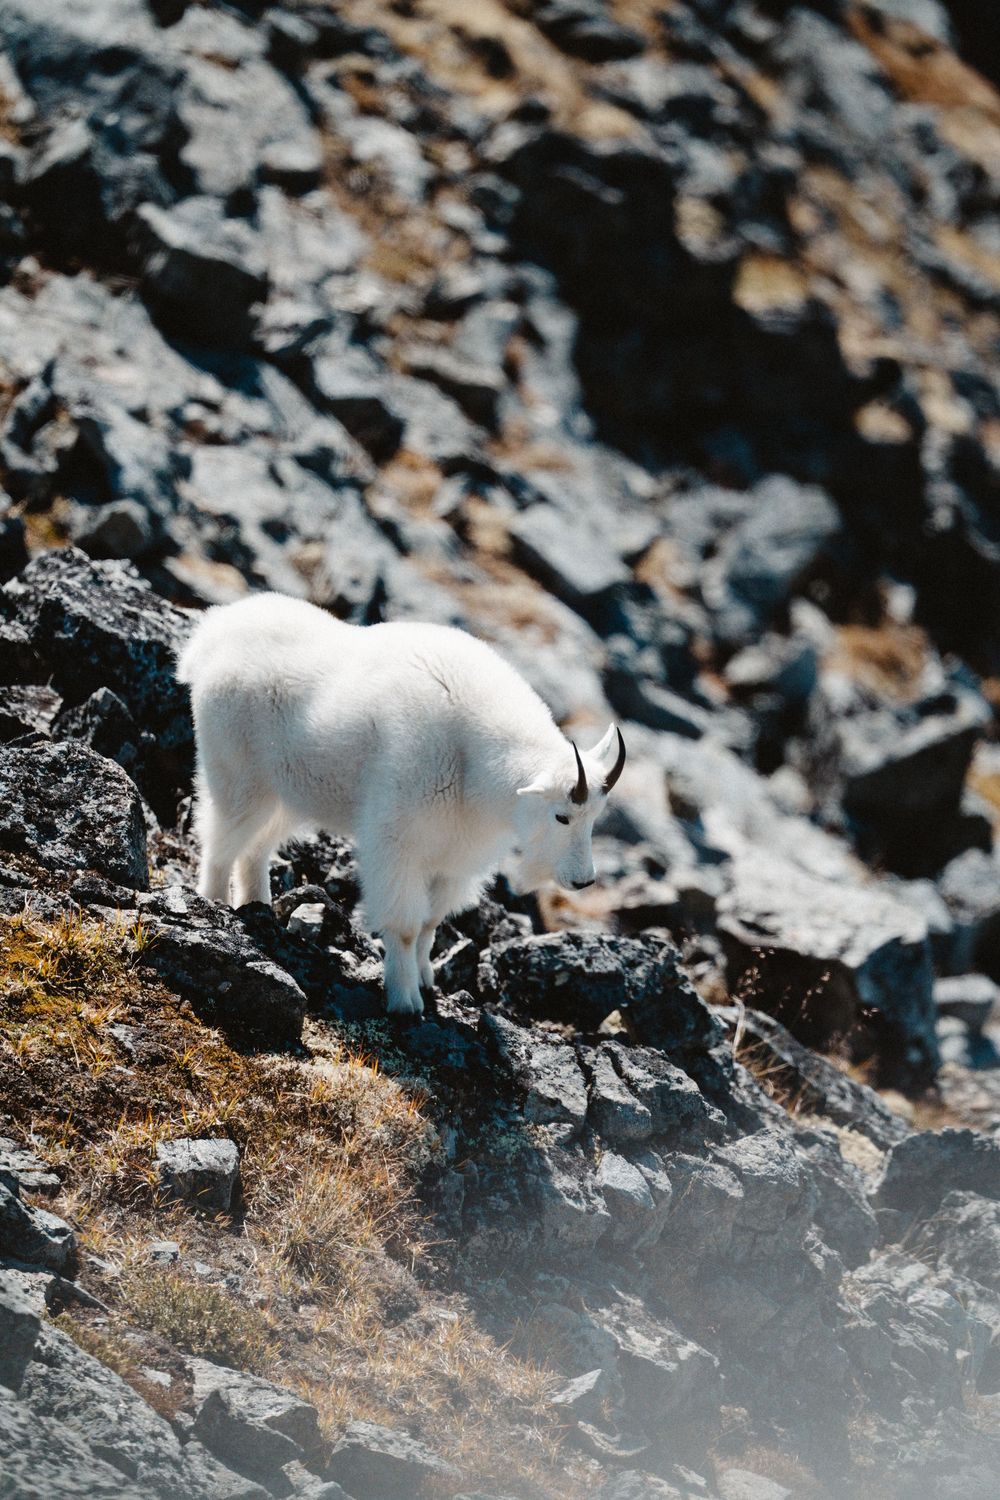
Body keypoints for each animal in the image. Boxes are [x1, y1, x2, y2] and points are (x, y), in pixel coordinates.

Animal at [177, 593, 626, 1015]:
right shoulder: (398, 842)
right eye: (562, 816)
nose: (583, 881)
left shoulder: (454, 858)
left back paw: (257, 906)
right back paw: (215, 905)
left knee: (254, 848)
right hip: (236, 773)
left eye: (595, 818)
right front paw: (405, 999)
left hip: (284, 795)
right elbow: (407, 926)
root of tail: (210, 635)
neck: (472, 757)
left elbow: (430, 923)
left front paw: (427, 980)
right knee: (220, 841)